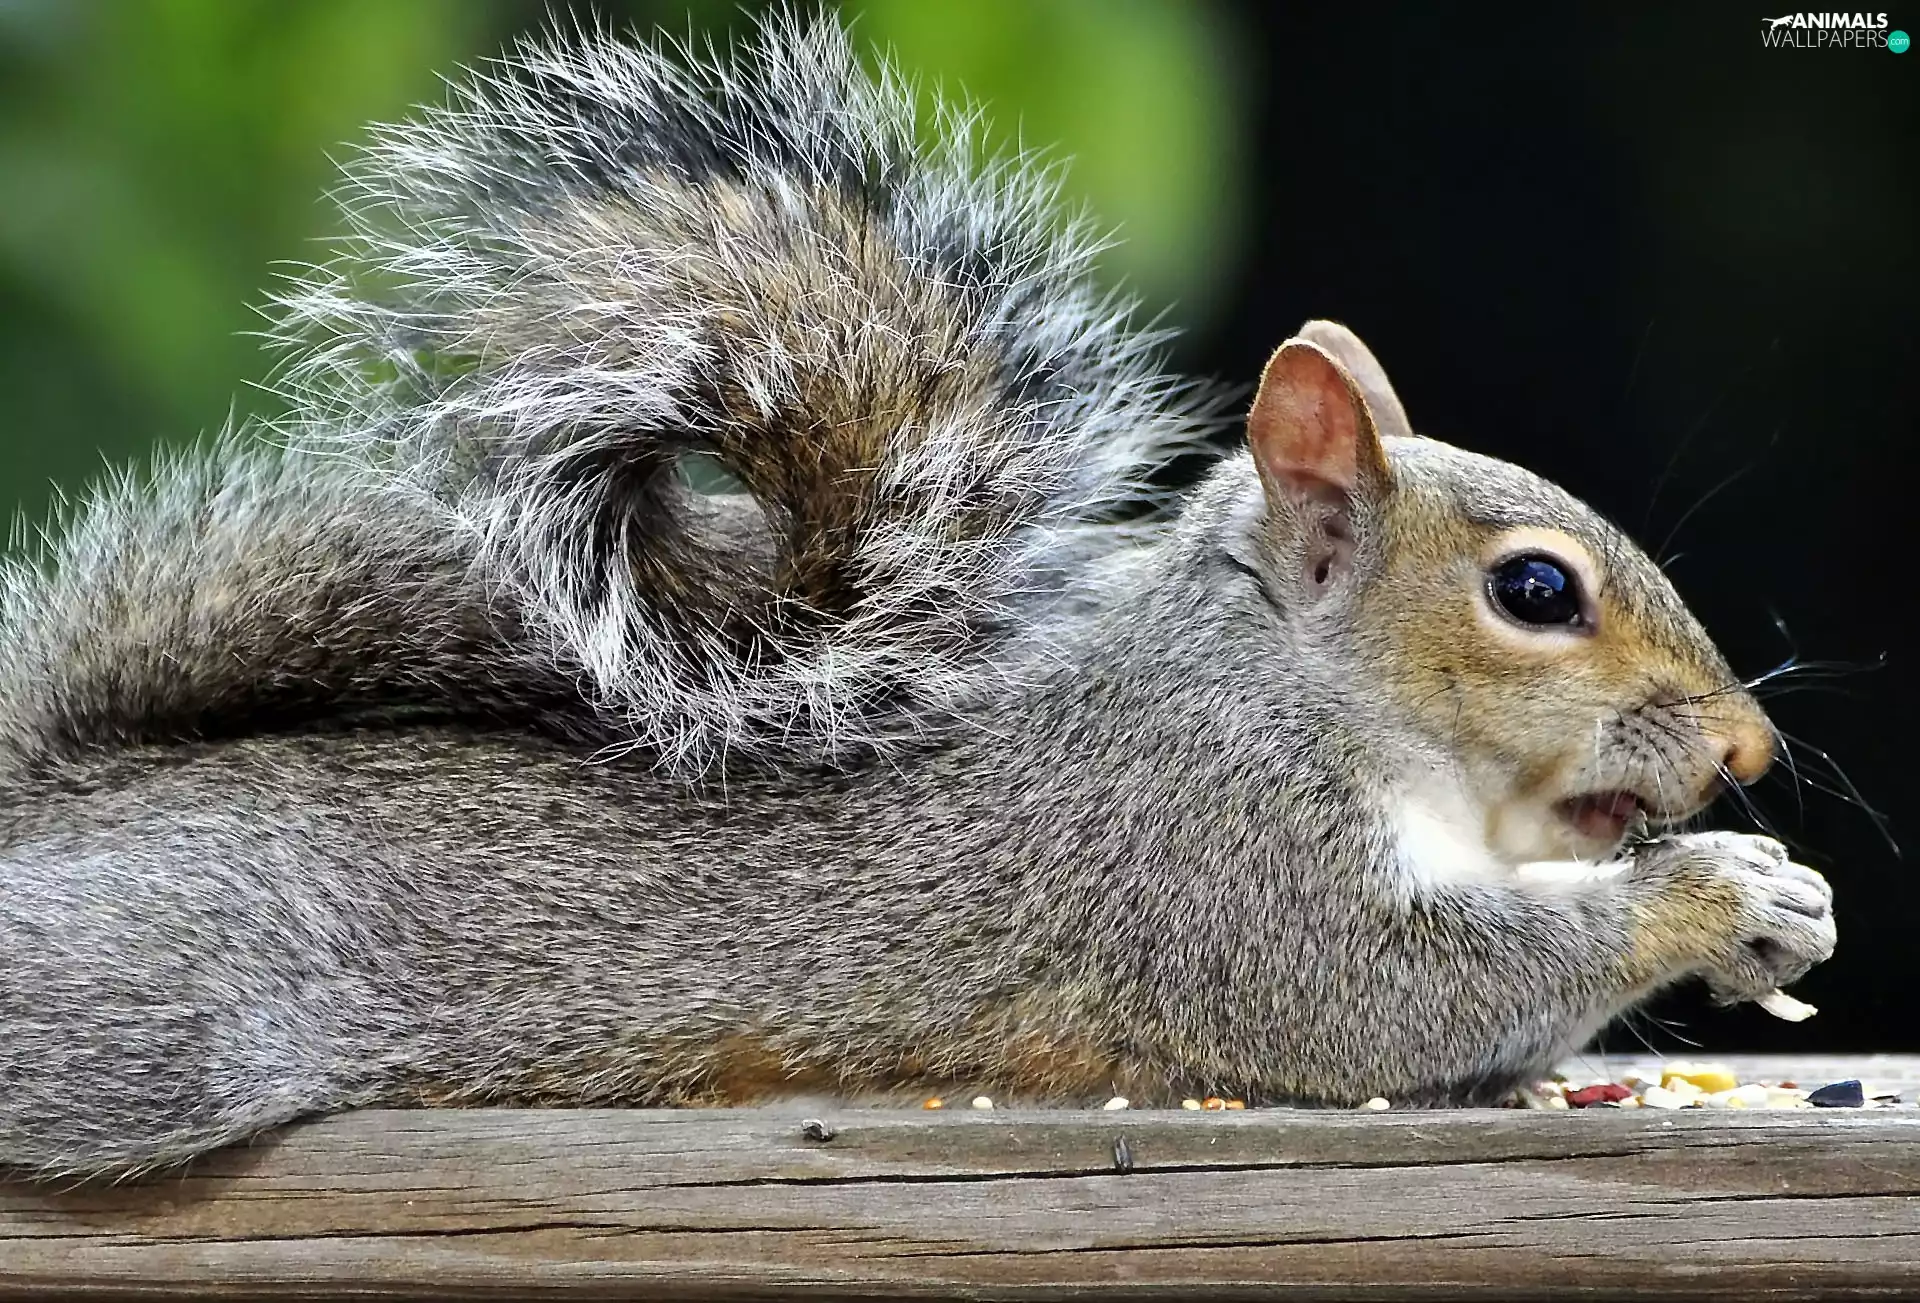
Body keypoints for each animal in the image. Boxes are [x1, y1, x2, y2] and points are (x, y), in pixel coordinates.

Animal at [0, 14, 1834, 1179]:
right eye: (1533, 588)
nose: (1747, 753)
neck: (1284, 684)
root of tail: (52, 807)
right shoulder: (1211, 852)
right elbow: (1385, 989)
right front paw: (1711, 893)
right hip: (167, 995)